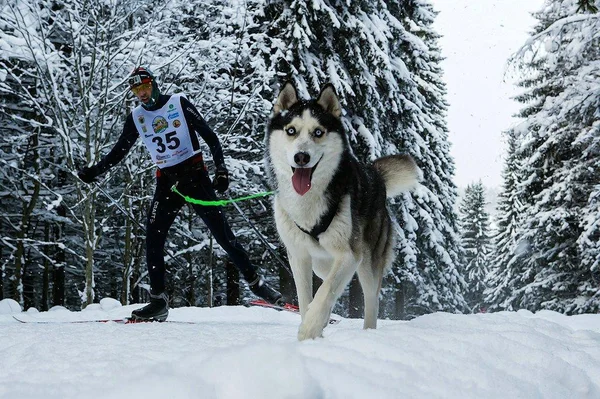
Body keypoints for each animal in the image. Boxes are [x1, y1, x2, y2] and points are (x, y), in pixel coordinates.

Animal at [264, 82, 420, 340]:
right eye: (291, 130)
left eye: (318, 132)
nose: (301, 157)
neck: (308, 204)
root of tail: (375, 175)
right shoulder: (299, 255)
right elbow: (307, 297)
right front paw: (312, 327)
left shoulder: (350, 255)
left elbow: (325, 292)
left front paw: (309, 330)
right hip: (321, 264)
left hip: (367, 262)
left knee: (370, 300)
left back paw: (367, 332)